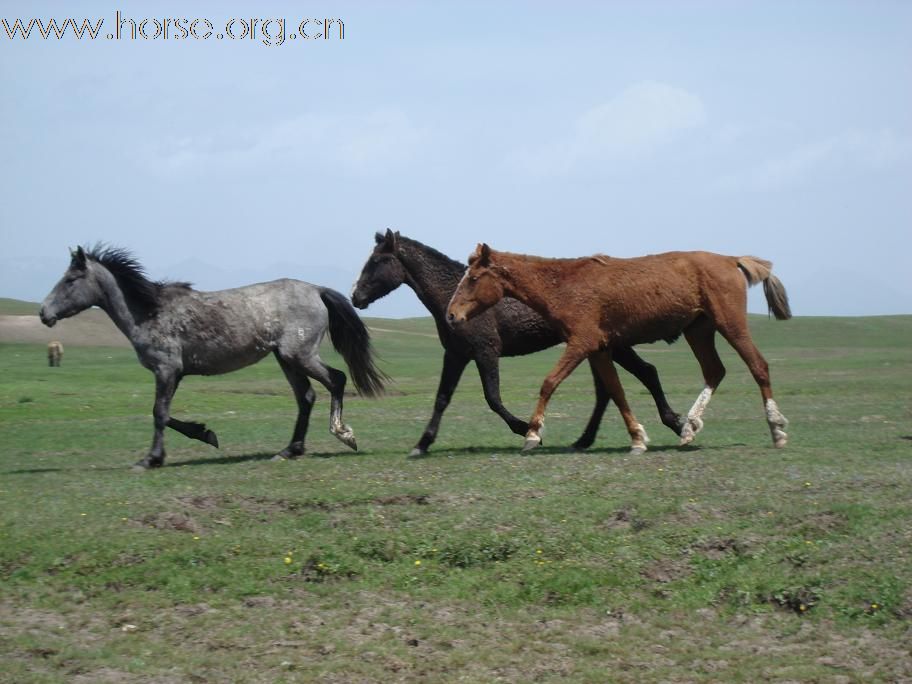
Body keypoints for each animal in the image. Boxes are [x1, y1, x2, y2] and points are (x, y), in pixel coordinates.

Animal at [39, 247, 384, 470]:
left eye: (70, 280)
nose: (44, 313)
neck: (149, 313)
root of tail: (316, 289)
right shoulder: (174, 374)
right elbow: (166, 415)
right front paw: (205, 434)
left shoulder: (166, 370)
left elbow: (159, 413)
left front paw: (151, 459)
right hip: (286, 359)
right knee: (306, 397)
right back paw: (289, 450)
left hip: (298, 355)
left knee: (336, 380)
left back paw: (344, 434)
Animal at [350, 230, 684, 454]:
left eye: (377, 260)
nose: (356, 297)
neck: (452, 296)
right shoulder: (456, 355)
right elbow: (442, 398)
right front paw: (422, 443)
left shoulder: (486, 352)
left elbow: (493, 399)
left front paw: (528, 430)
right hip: (600, 348)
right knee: (612, 388)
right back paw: (586, 440)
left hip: (609, 346)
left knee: (644, 374)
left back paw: (675, 423)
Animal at [448, 244, 792, 454]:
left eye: (474, 278)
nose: (451, 315)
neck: (565, 287)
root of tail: (730, 259)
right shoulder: (600, 349)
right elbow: (616, 391)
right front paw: (638, 438)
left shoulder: (581, 343)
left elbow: (550, 382)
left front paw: (532, 435)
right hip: (699, 330)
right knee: (714, 371)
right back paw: (688, 429)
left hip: (730, 324)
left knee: (758, 366)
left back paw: (776, 430)